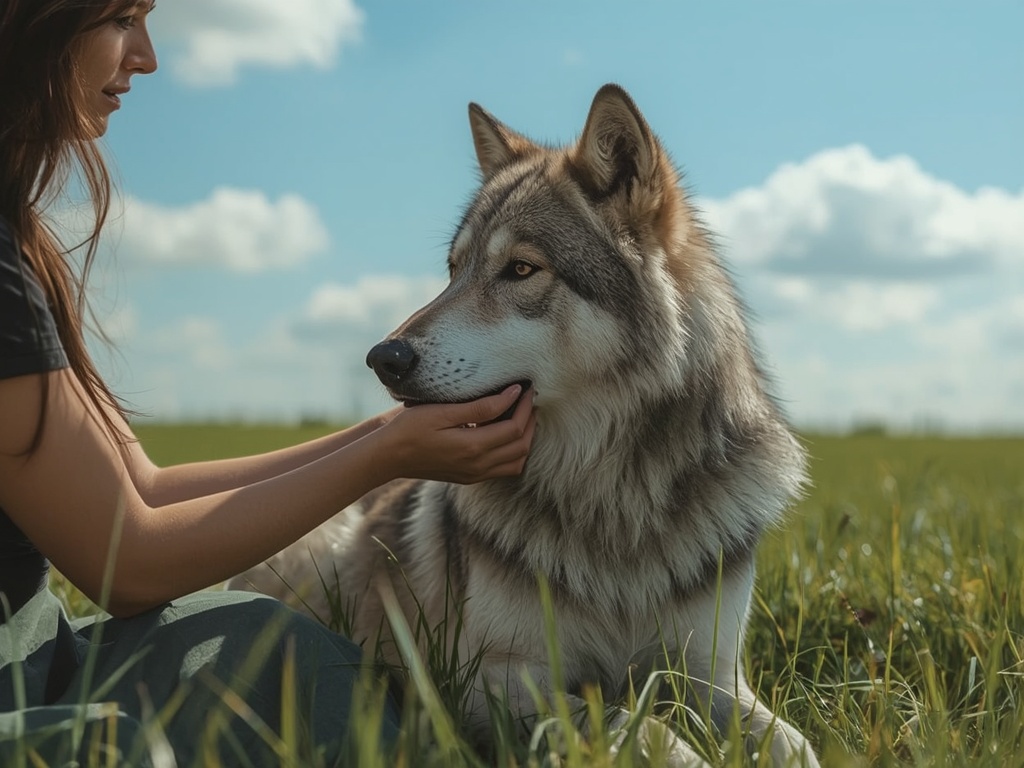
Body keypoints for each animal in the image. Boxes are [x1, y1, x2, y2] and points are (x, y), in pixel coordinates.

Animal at [230, 84, 819, 767]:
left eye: (519, 269)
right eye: (453, 270)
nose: (383, 358)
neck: (611, 496)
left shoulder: (712, 676)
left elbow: (795, 743)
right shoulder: (490, 678)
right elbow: (634, 721)